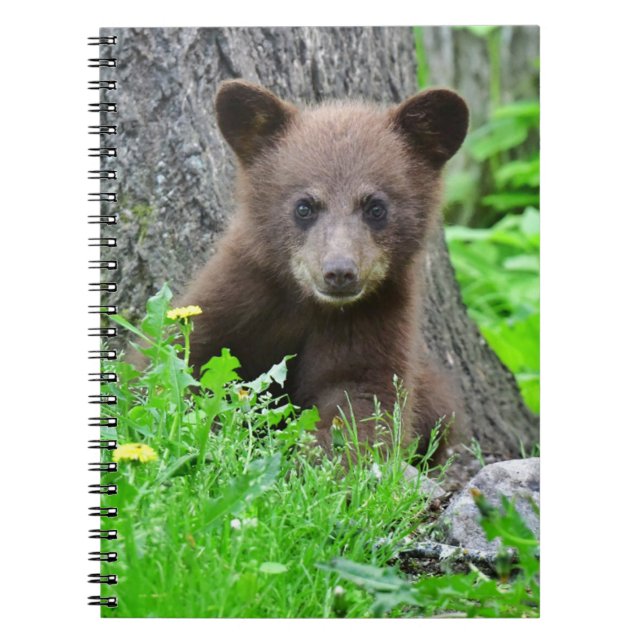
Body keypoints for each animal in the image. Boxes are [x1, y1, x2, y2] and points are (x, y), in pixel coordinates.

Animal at [177, 80, 469, 459]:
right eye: (304, 206)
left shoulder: (374, 318)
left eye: (376, 207)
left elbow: (363, 397)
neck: (307, 304)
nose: (339, 272)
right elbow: (187, 357)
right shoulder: (239, 294)